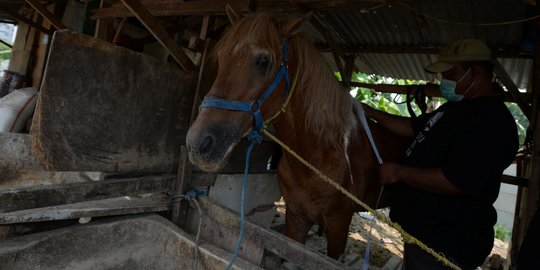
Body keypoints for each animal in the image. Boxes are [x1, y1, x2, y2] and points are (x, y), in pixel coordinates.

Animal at [184, 6, 408, 260]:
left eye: (263, 61)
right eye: (221, 58)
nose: (197, 143)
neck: (319, 157)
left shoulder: (339, 226)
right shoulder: (296, 219)